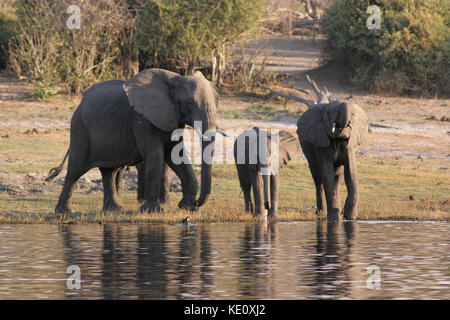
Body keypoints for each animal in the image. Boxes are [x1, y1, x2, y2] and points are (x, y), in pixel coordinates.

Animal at [47, 69, 218, 215]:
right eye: (189, 104)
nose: (196, 203)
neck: (175, 79)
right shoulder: (141, 119)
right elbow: (155, 157)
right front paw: (153, 211)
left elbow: (177, 156)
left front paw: (188, 207)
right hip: (79, 128)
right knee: (75, 170)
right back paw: (65, 212)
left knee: (109, 171)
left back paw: (114, 210)